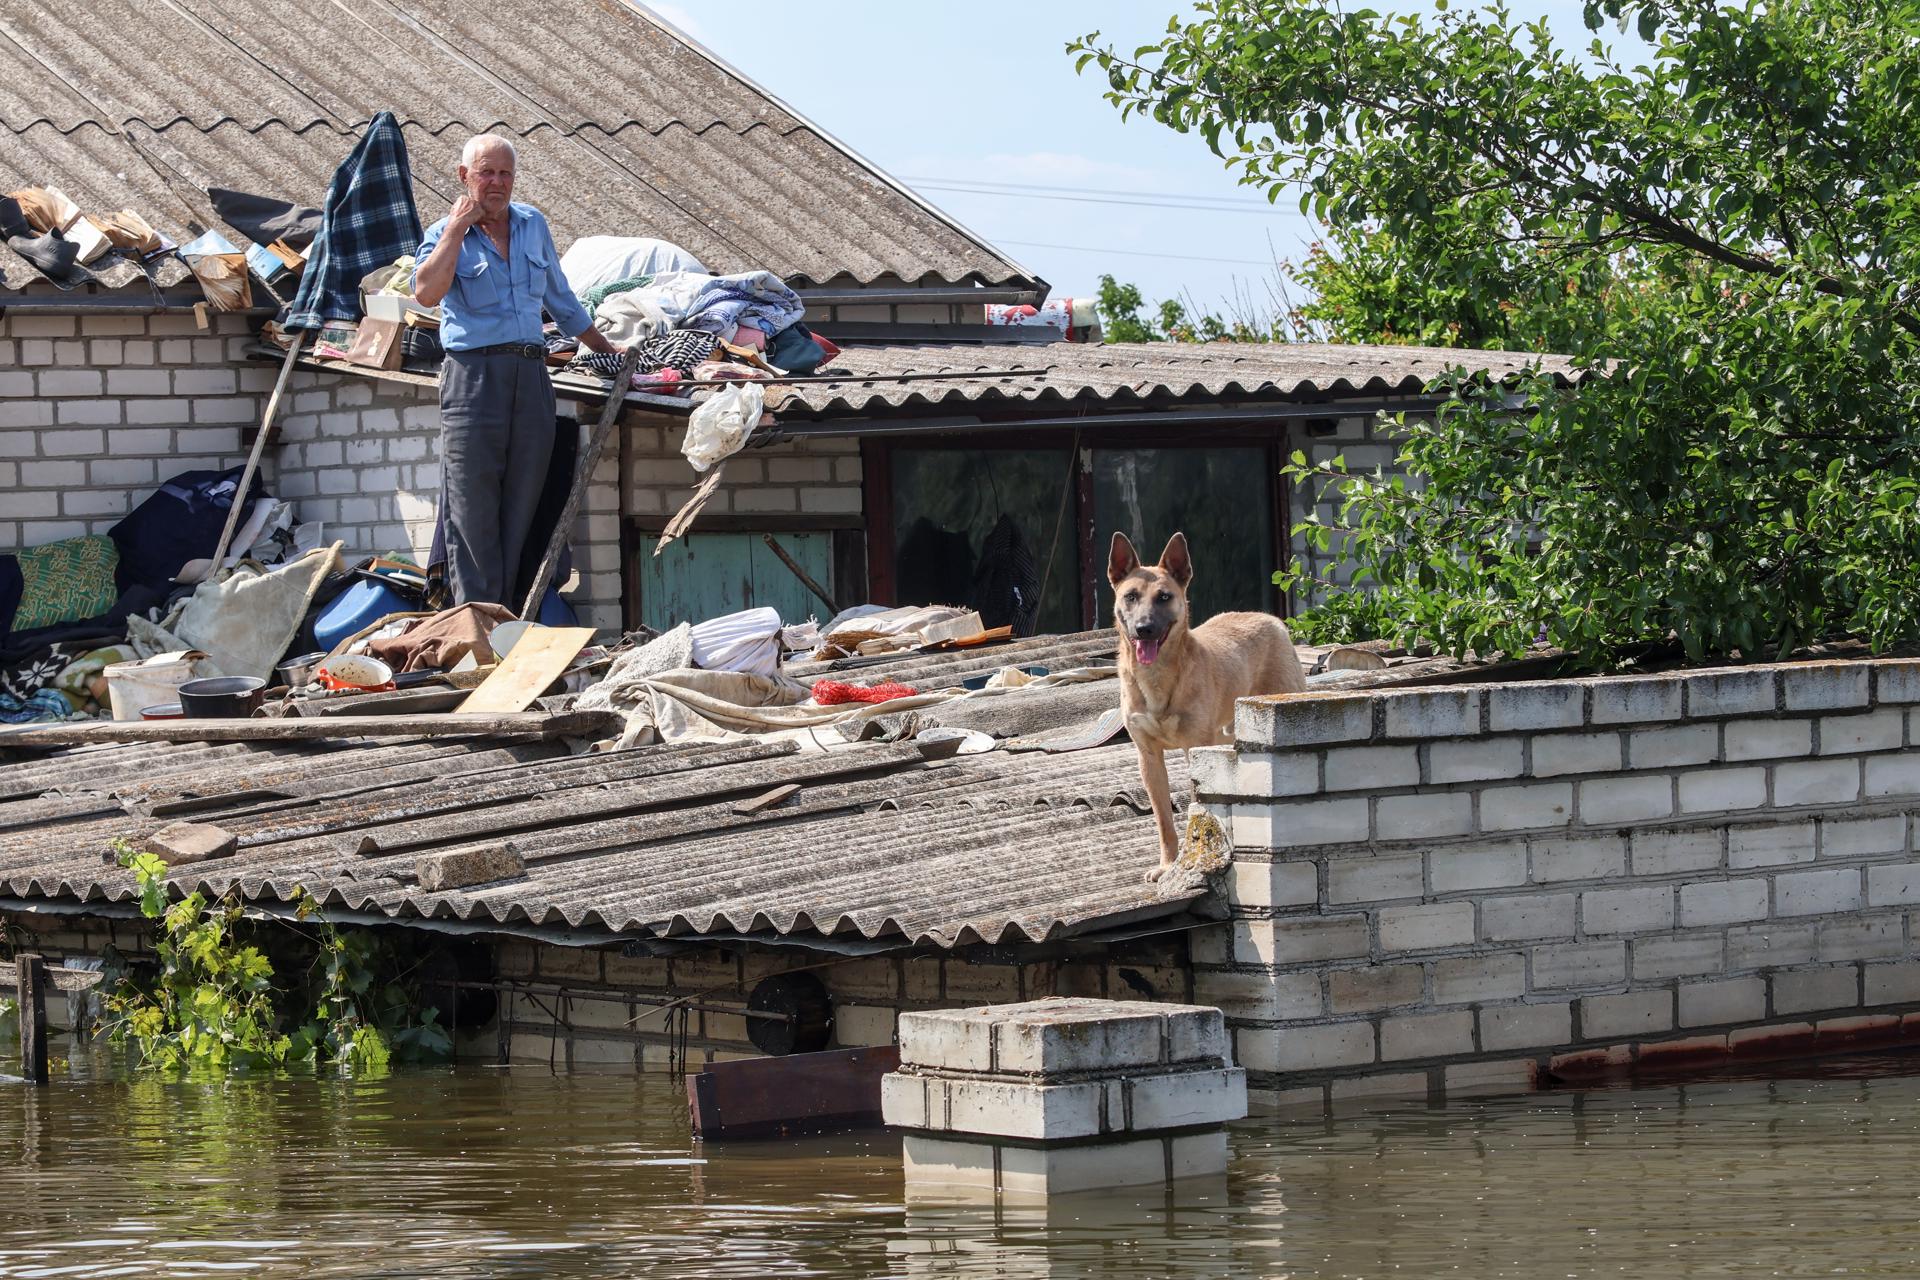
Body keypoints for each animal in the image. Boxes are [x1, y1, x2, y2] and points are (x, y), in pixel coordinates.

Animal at [1113, 529, 1305, 882]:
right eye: (1131, 596)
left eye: (1164, 597)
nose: (1144, 629)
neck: (1157, 678)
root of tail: (1267, 616)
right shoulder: (1149, 757)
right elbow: (1163, 820)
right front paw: (1166, 865)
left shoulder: (1195, 749)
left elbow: (1195, 809)